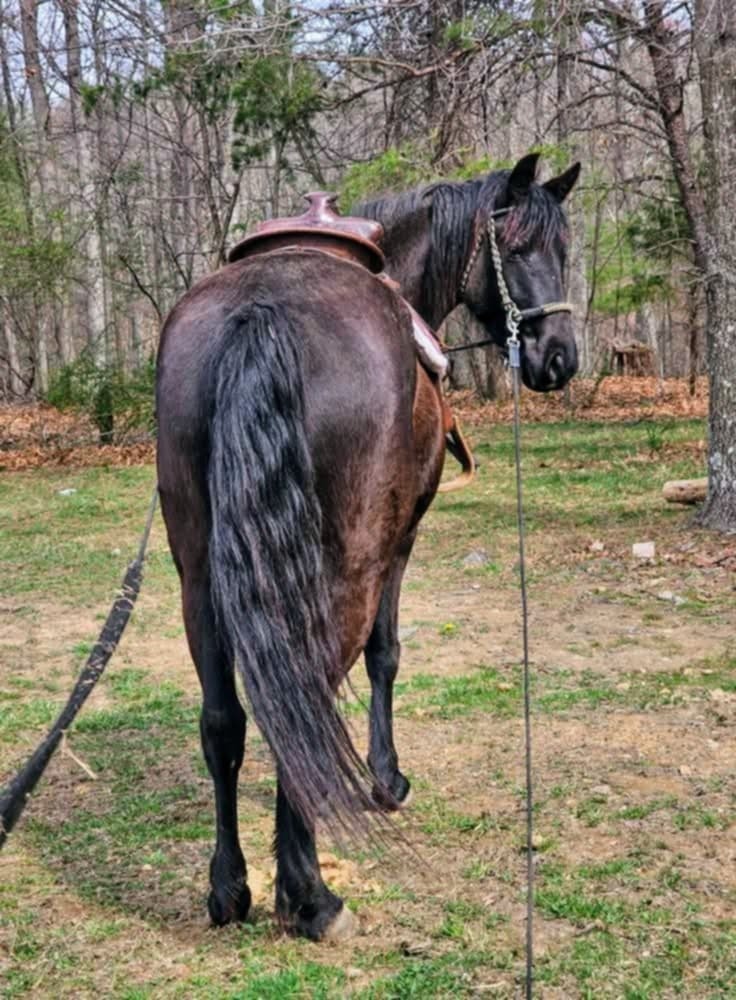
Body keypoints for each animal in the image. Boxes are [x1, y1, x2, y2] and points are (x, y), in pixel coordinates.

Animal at [154, 151, 580, 942]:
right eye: (519, 249)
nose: (559, 358)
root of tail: (260, 312)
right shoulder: (399, 541)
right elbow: (386, 654)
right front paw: (387, 779)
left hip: (197, 574)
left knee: (226, 721)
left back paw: (230, 890)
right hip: (344, 567)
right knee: (306, 697)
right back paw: (311, 896)